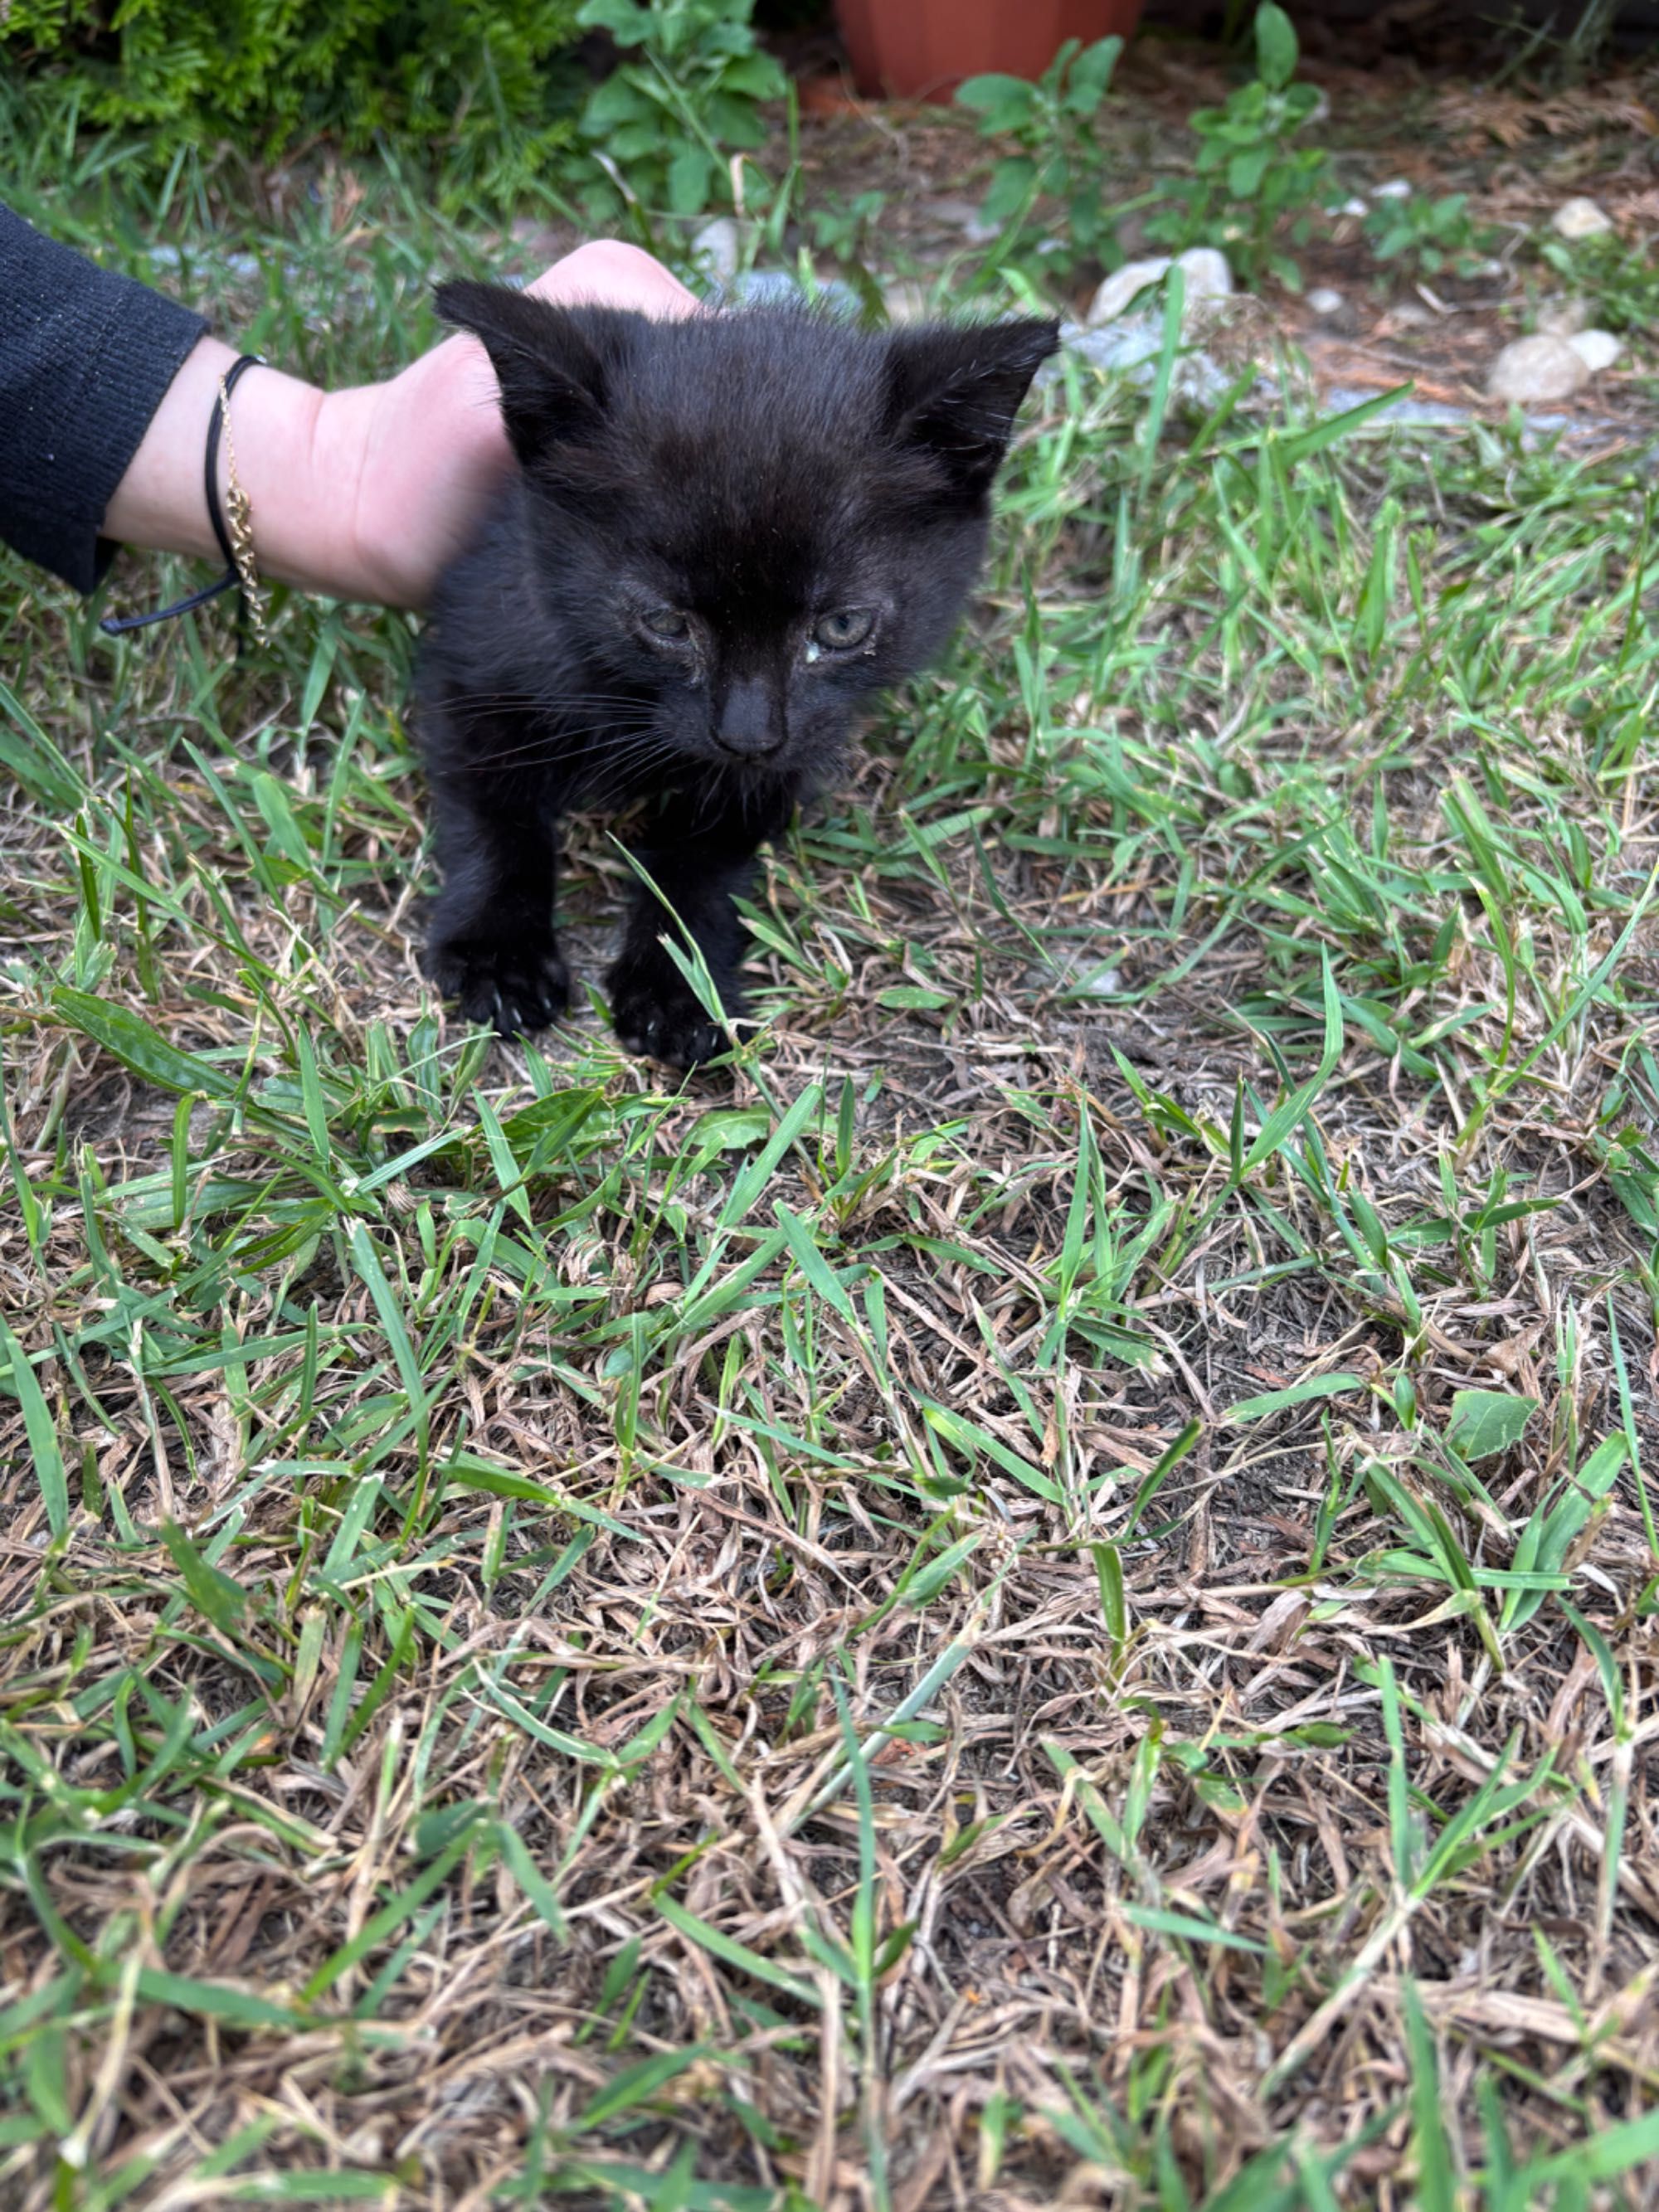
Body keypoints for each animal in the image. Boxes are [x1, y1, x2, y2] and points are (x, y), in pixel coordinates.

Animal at [417, 283, 1058, 1065]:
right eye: (665, 623)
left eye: (841, 628)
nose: (748, 736)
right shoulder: (476, 645)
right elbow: (492, 810)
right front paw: (498, 954)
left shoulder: (794, 749)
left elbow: (706, 860)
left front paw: (678, 988)